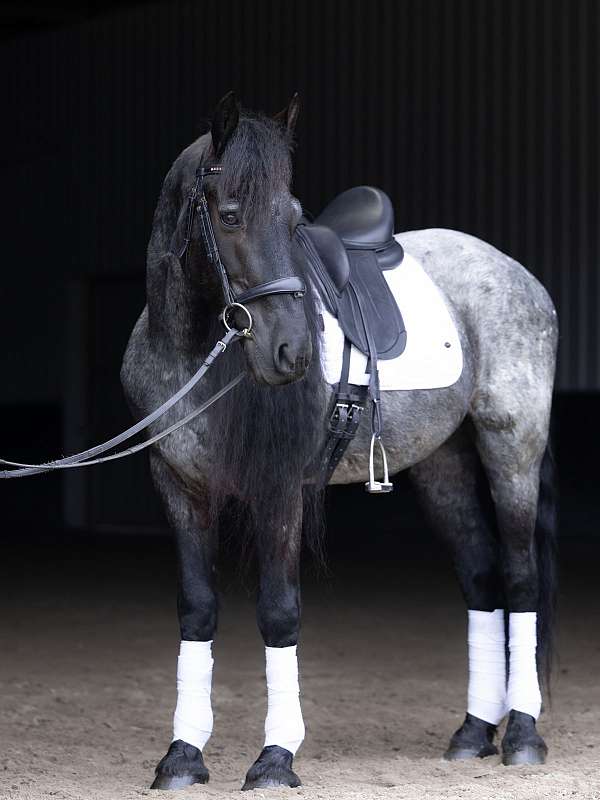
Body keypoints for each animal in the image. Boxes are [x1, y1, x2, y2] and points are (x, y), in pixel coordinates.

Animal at [121, 92, 558, 790]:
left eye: (294, 218)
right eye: (232, 215)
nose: (291, 353)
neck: (193, 353)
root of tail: (519, 276)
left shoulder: (278, 490)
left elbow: (278, 611)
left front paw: (275, 758)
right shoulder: (178, 486)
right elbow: (197, 608)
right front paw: (183, 755)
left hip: (511, 447)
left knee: (520, 578)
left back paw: (521, 735)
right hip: (443, 464)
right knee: (481, 575)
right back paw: (473, 732)